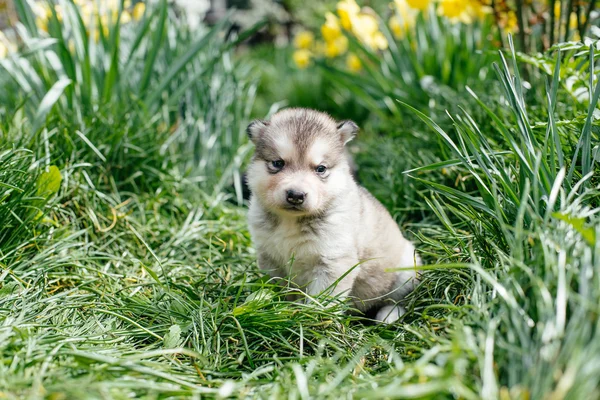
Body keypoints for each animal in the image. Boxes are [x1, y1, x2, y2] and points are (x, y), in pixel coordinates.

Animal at [246, 108, 420, 324]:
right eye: (278, 163)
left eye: (320, 168)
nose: (296, 195)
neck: (291, 221)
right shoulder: (269, 257)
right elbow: (279, 288)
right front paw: (278, 308)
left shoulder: (333, 262)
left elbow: (323, 299)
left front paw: (313, 320)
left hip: (407, 268)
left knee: (398, 300)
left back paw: (389, 315)